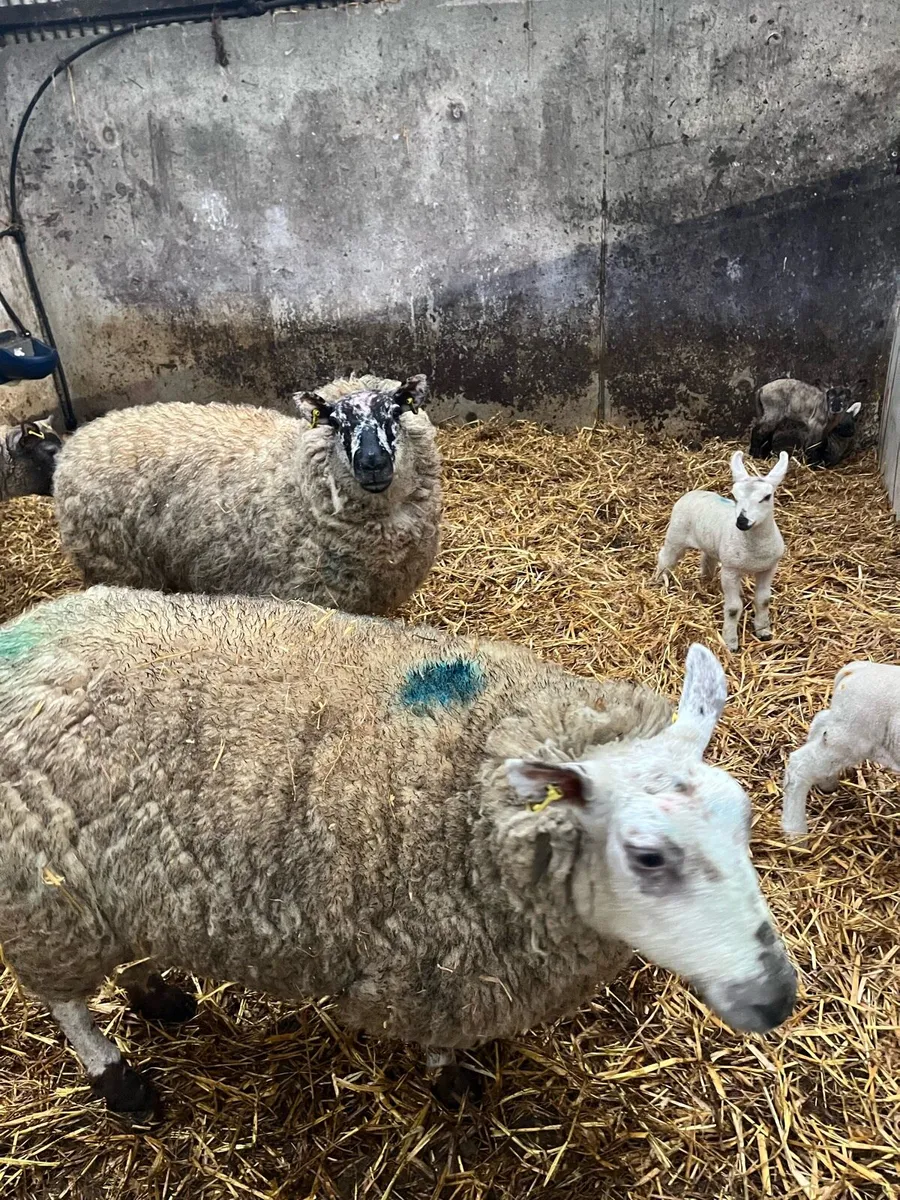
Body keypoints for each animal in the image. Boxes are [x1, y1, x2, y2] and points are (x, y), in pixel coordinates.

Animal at [0, 585, 796, 1120]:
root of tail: (24, 632)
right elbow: (442, 1041)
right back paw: (120, 1081)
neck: (474, 789)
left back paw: (158, 994)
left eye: (743, 819)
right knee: (64, 1001)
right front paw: (455, 1084)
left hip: (109, 883)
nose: (779, 996)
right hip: (44, 897)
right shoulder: (436, 967)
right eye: (648, 857)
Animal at [653, 451, 789, 653]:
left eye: (766, 497)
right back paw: (658, 581)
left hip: (709, 543)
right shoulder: (730, 570)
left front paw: (764, 631)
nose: (742, 521)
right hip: (676, 534)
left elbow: (763, 599)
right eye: (734, 496)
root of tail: (696, 491)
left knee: (707, 559)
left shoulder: (769, 567)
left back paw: (706, 581)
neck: (754, 548)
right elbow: (733, 608)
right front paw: (731, 643)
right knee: (666, 557)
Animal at [781, 661, 900, 837]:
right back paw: (796, 833)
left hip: (841, 726)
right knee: (800, 767)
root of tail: (857, 668)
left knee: (819, 722)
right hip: (851, 735)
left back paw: (827, 783)